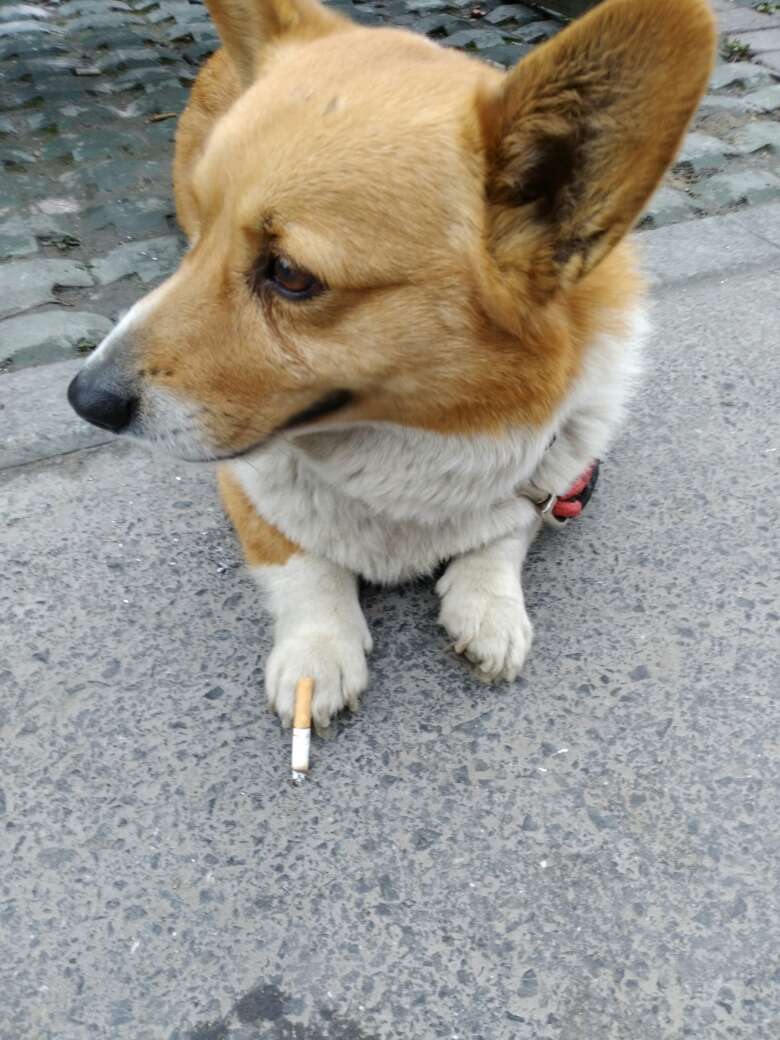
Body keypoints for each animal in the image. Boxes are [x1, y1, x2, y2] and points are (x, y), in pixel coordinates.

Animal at [68, 0, 715, 731]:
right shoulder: (244, 486)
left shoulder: (562, 472)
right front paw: (317, 652)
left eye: (290, 274)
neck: (405, 452)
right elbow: (301, 562)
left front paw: (489, 604)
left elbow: (509, 528)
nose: (84, 398)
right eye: (200, 237)